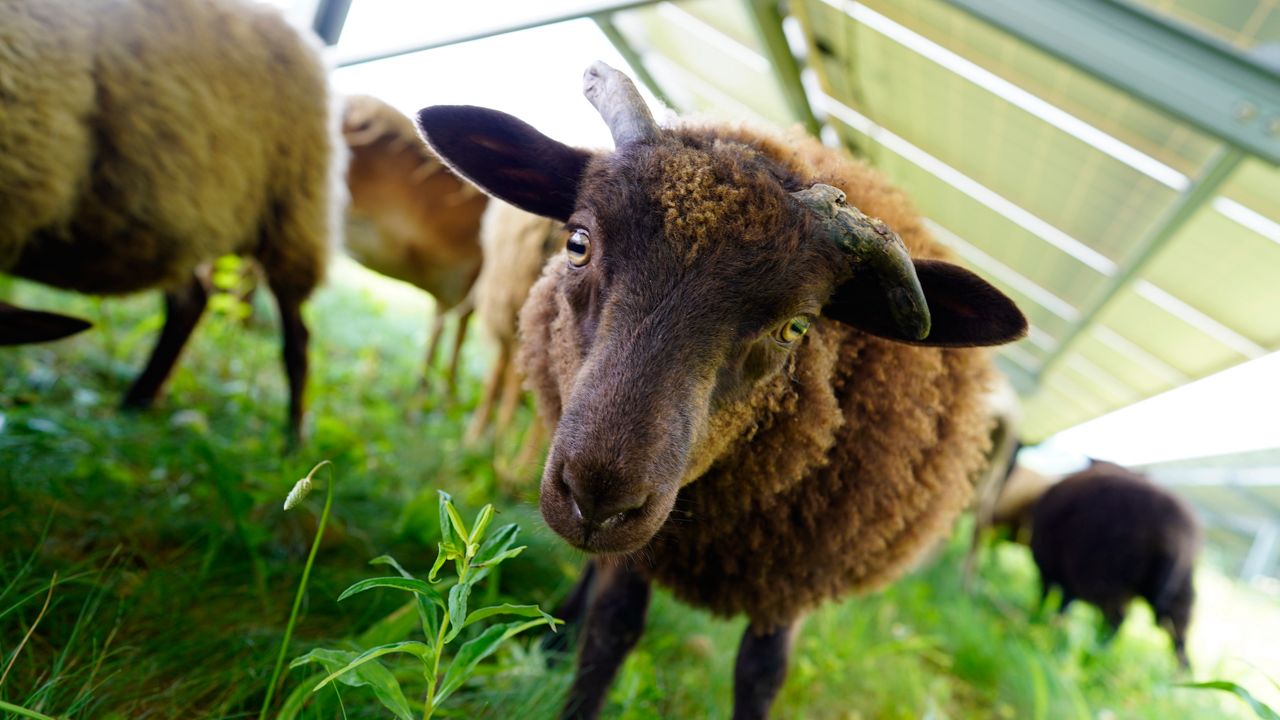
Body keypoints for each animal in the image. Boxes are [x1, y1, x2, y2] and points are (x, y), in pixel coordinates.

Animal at [0, 0, 341, 441]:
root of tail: (302, 32)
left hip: (293, 216)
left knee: (297, 339)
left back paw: (293, 438)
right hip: (169, 223)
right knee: (191, 300)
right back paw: (139, 400)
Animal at [416, 62, 1028, 719]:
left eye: (797, 327)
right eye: (577, 242)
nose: (597, 499)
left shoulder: (793, 576)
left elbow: (760, 674)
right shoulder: (645, 545)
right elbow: (612, 628)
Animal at [1030, 460, 1200, 669]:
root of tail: (1176, 534)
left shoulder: (1058, 569)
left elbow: (1052, 596)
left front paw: (1042, 617)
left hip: (1105, 574)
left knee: (1115, 619)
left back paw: (1095, 653)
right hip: (1181, 587)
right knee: (1179, 629)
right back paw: (1183, 669)